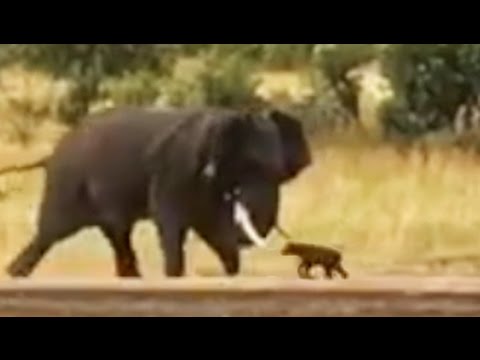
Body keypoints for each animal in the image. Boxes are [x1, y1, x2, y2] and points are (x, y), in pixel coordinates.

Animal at [3, 105, 314, 278]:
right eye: (251, 166)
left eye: (279, 174)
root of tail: (51, 153)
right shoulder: (178, 167)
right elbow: (172, 220)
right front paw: (174, 275)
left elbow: (213, 227)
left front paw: (232, 273)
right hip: (68, 182)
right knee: (50, 233)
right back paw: (15, 274)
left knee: (117, 235)